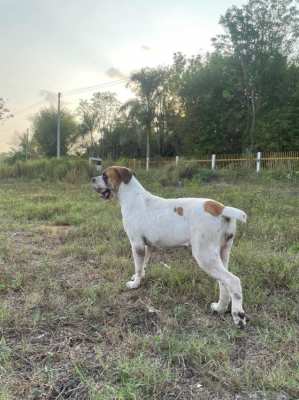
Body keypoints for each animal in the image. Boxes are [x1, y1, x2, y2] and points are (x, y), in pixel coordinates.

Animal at [92, 167, 248, 326]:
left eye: (105, 176)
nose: (92, 179)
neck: (132, 197)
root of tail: (221, 209)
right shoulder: (147, 246)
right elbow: (142, 266)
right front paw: (138, 277)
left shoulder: (137, 245)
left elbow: (138, 266)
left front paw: (135, 284)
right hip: (221, 254)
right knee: (224, 283)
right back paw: (219, 308)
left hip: (205, 256)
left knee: (233, 281)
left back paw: (238, 316)